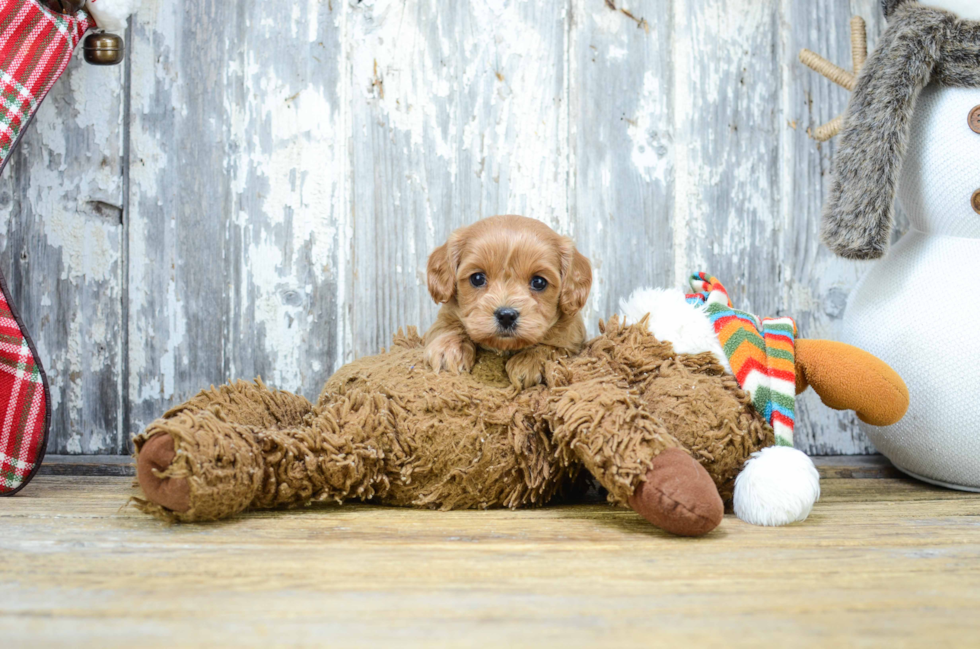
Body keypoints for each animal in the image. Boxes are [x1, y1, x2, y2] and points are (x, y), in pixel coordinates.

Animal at [422, 214, 588, 390]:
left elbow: (553, 347)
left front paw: (528, 362)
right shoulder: (447, 313)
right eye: (477, 278)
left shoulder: (572, 336)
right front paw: (449, 348)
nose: (506, 316)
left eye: (539, 282)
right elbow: (448, 325)